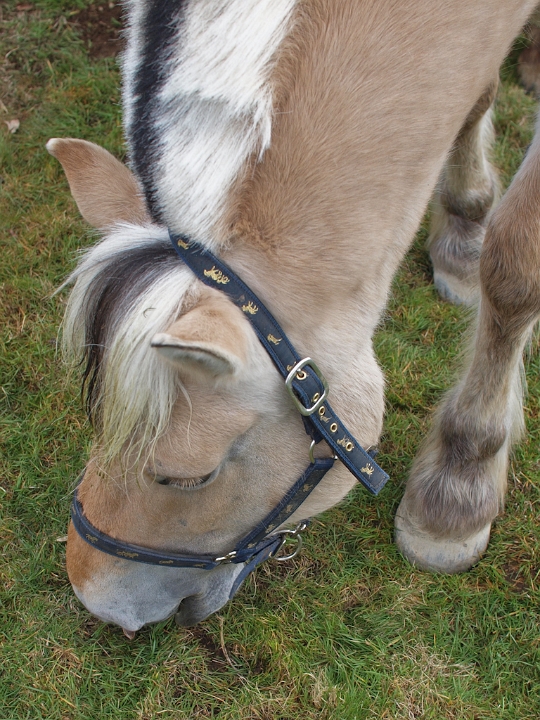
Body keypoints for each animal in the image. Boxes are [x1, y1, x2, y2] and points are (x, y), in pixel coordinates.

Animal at [47, 0, 540, 636]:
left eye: (188, 477)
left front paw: (457, 493)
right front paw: (465, 223)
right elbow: (477, 94)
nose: (95, 599)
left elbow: (515, 269)